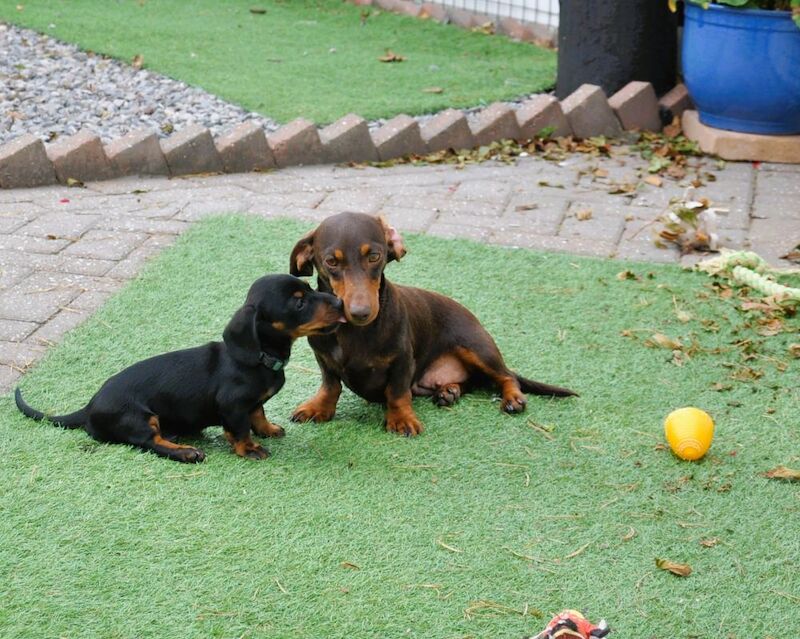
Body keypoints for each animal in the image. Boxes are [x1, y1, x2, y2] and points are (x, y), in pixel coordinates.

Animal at [13, 276, 344, 464]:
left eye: (310, 288)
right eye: (299, 303)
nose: (340, 301)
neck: (262, 356)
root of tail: (89, 406)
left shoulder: (252, 403)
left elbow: (258, 413)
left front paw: (268, 429)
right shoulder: (233, 405)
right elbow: (238, 428)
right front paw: (249, 448)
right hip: (139, 418)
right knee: (149, 442)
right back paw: (185, 451)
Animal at [290, 212, 580, 438]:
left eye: (374, 256)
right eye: (331, 261)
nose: (360, 312)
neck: (354, 333)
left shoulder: (403, 361)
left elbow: (397, 393)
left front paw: (402, 419)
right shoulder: (323, 358)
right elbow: (331, 386)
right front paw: (319, 408)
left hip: (477, 348)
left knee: (506, 376)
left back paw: (512, 398)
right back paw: (449, 391)